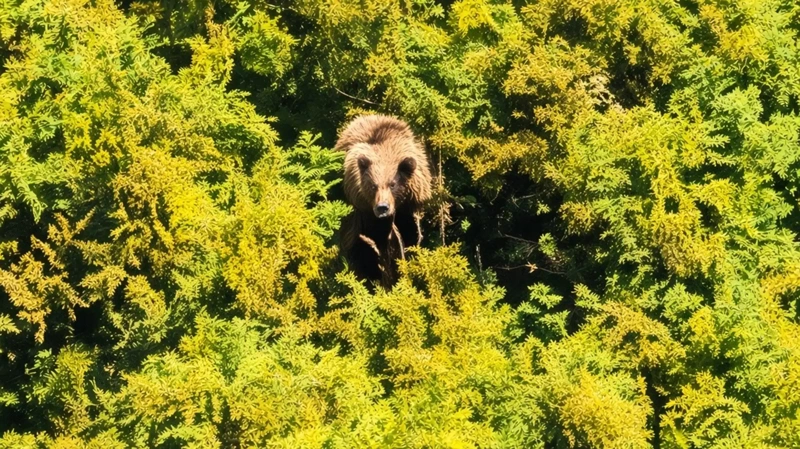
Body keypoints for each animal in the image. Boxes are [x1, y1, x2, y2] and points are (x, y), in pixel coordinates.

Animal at [335, 114, 432, 288]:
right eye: (373, 185)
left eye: (393, 184)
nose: (382, 207)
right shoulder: (363, 216)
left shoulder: (408, 209)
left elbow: (409, 238)